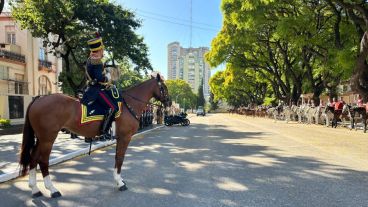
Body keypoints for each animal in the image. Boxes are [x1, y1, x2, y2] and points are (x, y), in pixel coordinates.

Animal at [19, 73, 171, 198]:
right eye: (163, 87)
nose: (169, 102)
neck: (129, 103)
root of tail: (40, 98)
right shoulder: (125, 137)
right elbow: (120, 159)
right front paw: (120, 183)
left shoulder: (120, 138)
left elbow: (117, 158)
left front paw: (119, 180)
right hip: (48, 138)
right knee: (43, 161)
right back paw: (52, 189)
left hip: (41, 138)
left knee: (33, 158)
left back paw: (35, 189)